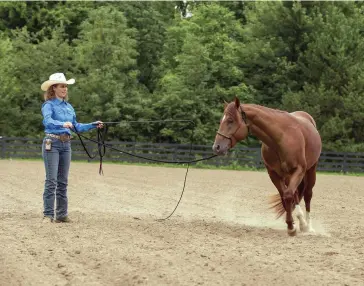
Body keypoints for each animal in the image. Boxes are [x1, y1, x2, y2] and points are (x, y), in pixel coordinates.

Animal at [213, 97, 322, 236]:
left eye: (230, 120)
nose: (216, 147)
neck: (281, 137)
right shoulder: (273, 174)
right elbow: (285, 197)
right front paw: (291, 225)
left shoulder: (299, 170)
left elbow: (288, 196)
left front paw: (294, 227)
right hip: (288, 176)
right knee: (296, 194)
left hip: (310, 170)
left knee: (307, 195)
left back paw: (308, 227)